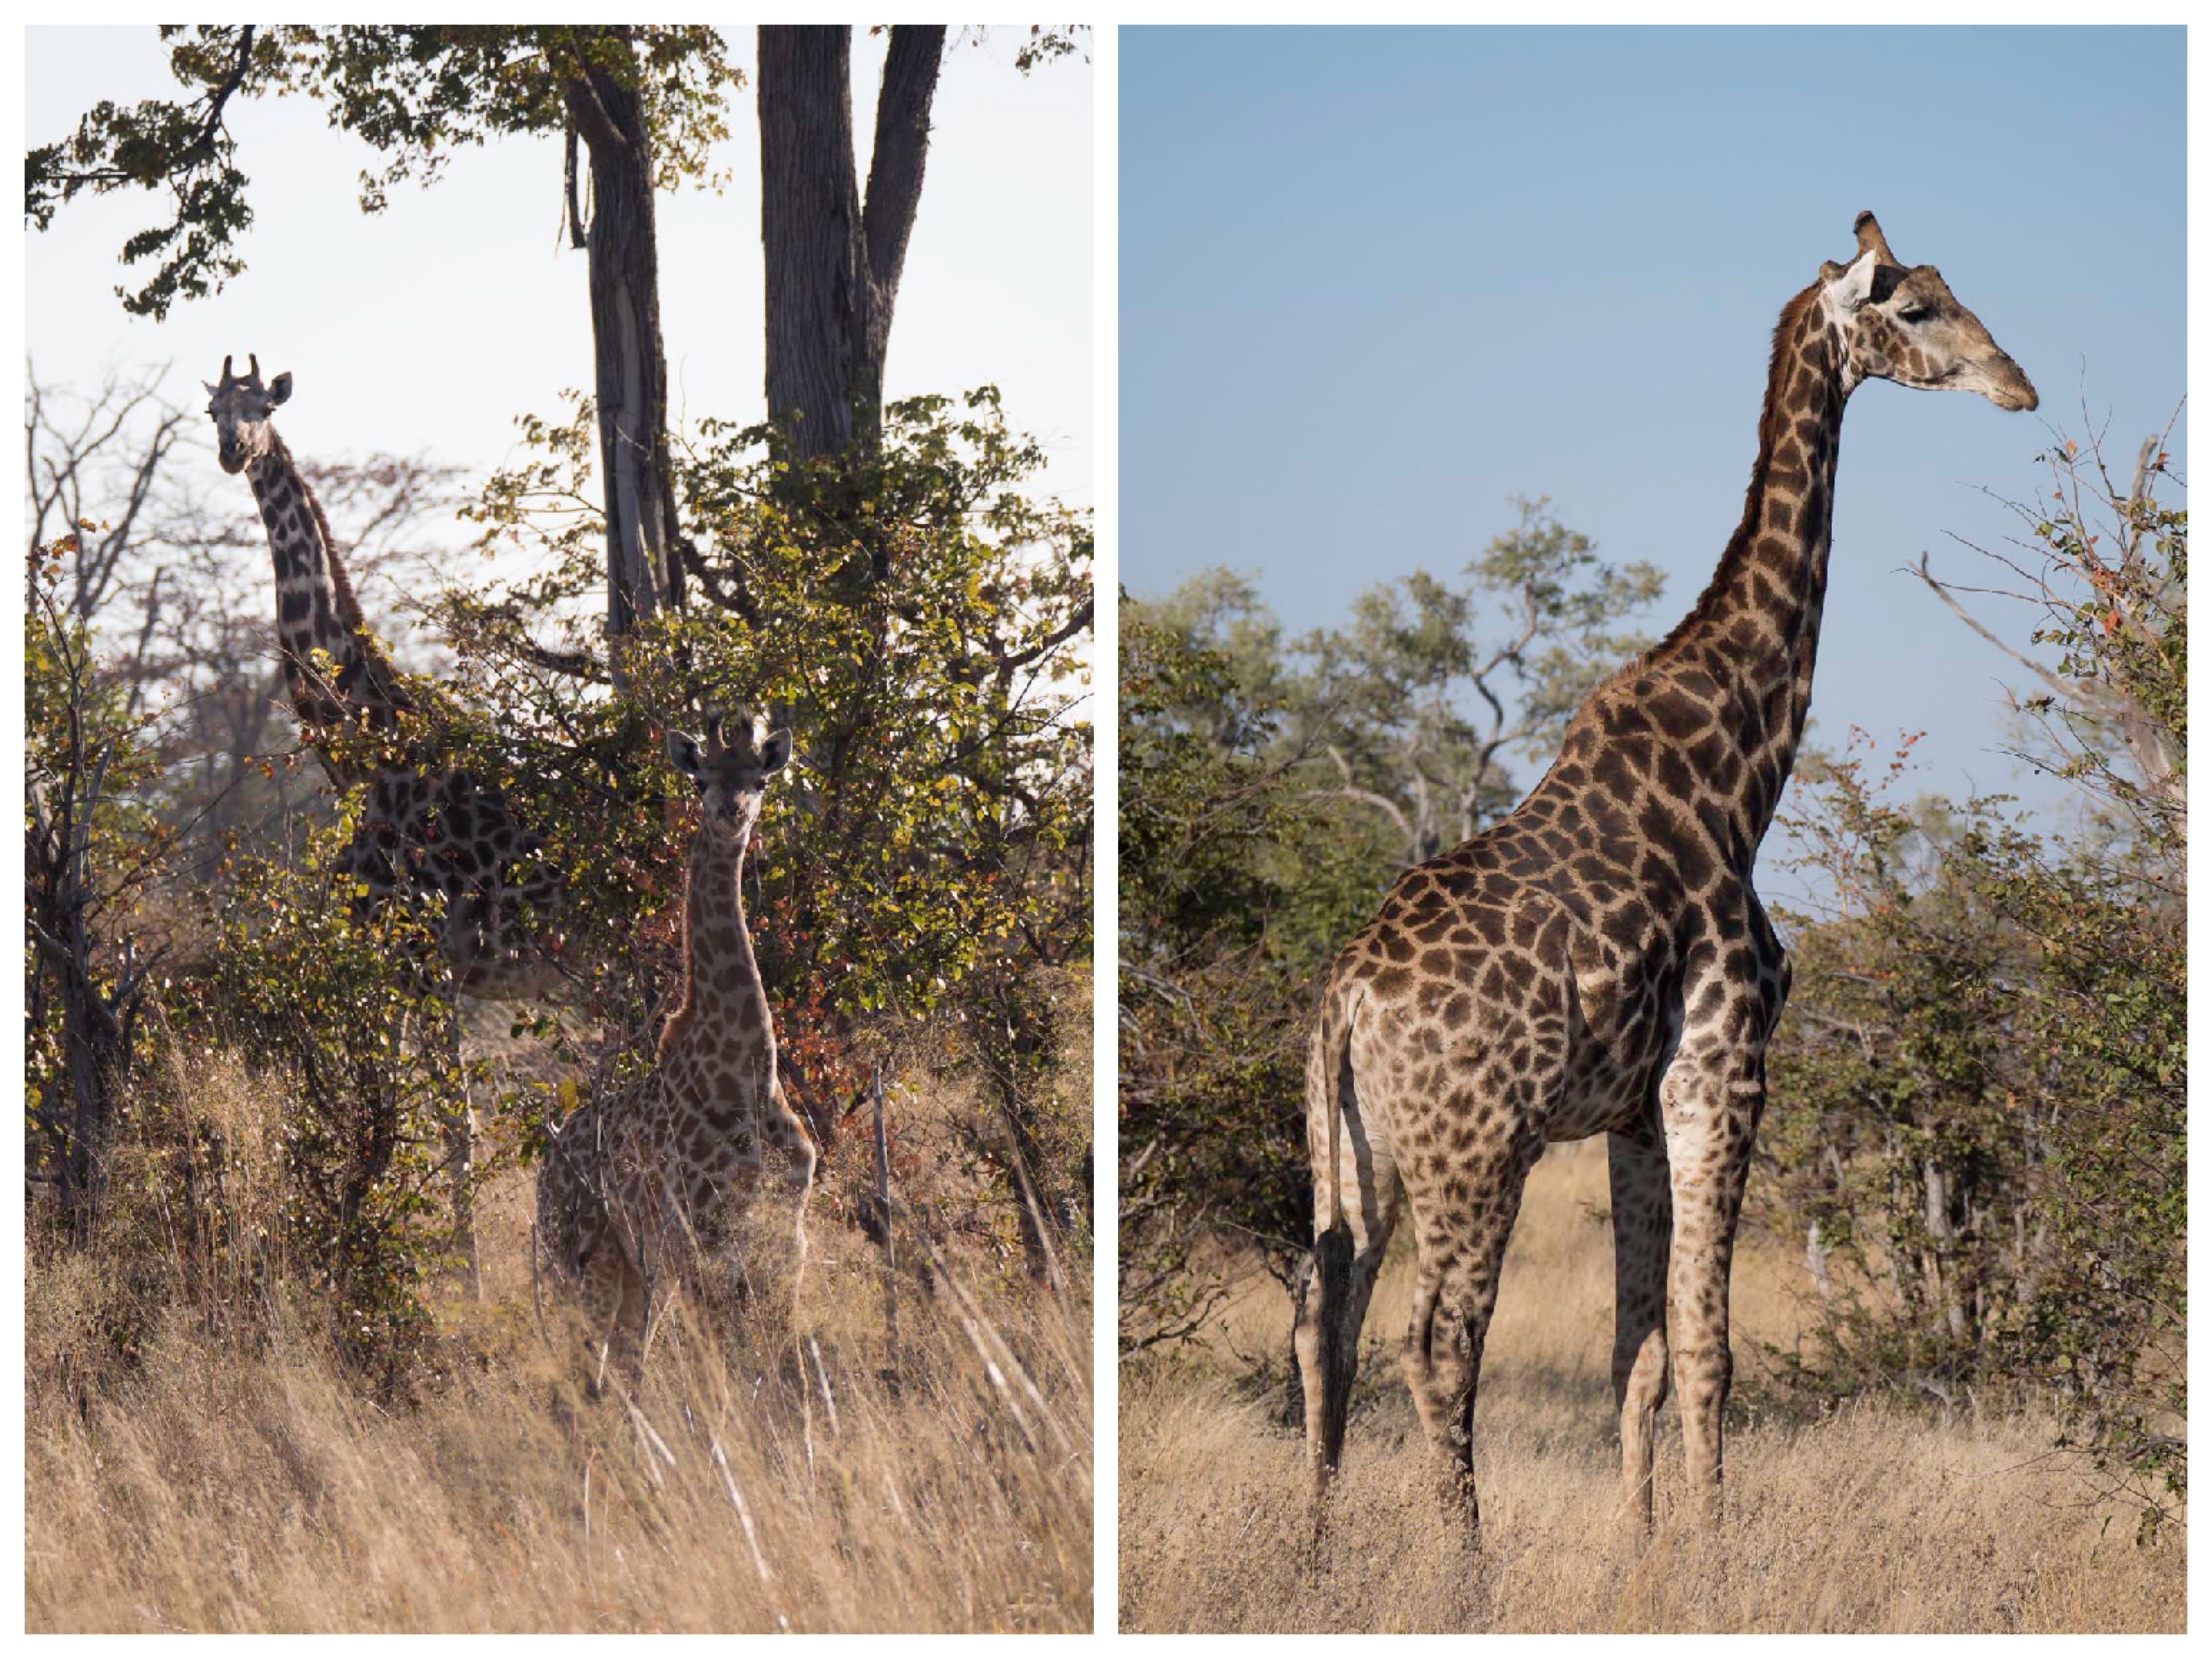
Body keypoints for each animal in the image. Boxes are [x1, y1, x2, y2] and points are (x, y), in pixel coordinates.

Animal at [206, 354, 569, 1296]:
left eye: (262, 409)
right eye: (214, 410)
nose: (234, 452)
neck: (362, 751)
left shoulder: (422, 956)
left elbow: (448, 1121)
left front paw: (468, 1285)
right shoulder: (397, 963)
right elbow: (394, 1115)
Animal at [534, 709, 818, 1381]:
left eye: (760, 780)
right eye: (700, 780)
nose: (729, 812)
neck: (746, 1072)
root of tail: (546, 1164)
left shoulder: (782, 1244)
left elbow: (785, 1379)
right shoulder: (690, 1239)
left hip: (629, 1271)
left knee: (616, 1368)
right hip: (578, 1258)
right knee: (587, 1372)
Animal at [1293, 213, 2036, 1537]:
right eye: (1914, 311)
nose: (2019, 385)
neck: (1742, 766)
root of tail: (1345, 1002)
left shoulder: (1633, 1111)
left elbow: (1632, 1356)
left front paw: (1641, 1548)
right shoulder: (1723, 1071)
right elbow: (1706, 1349)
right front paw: (1713, 1546)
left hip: (1352, 1154)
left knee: (1321, 1326)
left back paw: (1315, 1555)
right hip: (1475, 1152)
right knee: (1437, 1344)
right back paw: (1463, 1560)